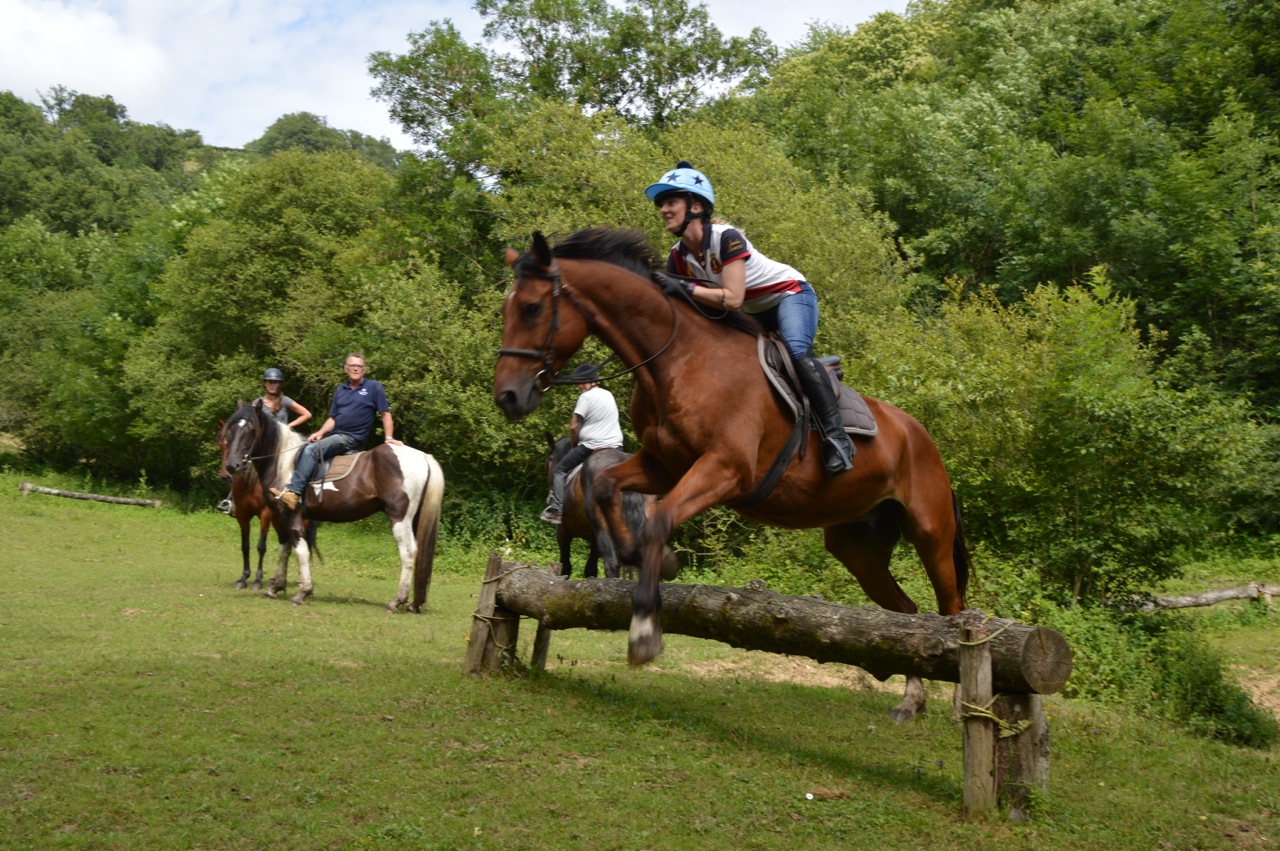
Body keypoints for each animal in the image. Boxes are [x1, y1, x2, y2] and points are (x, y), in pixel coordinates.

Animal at [220, 399, 445, 612]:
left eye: (251, 430)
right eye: (230, 431)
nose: (232, 466)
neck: (284, 462)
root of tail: (423, 457)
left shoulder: (291, 514)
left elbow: (301, 551)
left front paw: (303, 592)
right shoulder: (278, 515)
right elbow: (284, 550)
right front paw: (275, 588)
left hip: (400, 518)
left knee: (408, 553)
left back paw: (396, 601)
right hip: (414, 519)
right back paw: (414, 604)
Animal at [545, 433, 678, 580]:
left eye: (550, 459)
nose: (549, 498)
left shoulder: (563, 531)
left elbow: (566, 566)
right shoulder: (593, 539)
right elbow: (590, 570)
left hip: (601, 526)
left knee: (611, 563)